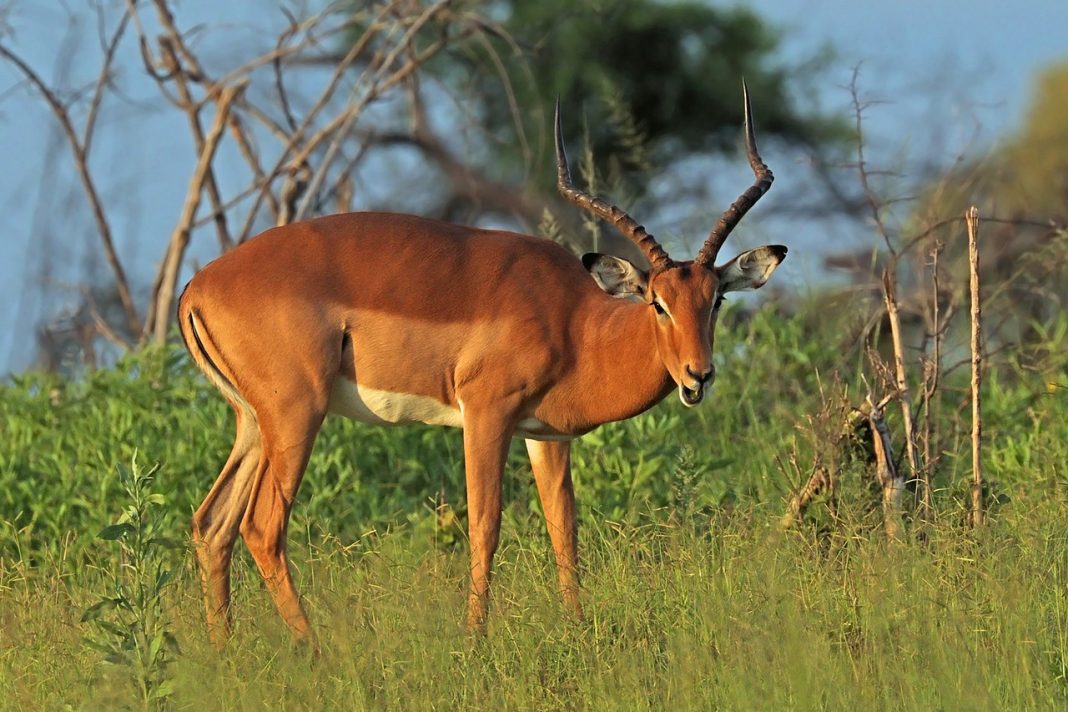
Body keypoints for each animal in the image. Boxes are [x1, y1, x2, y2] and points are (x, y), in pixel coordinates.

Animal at [178, 83, 785, 643]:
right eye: (657, 302)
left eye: (715, 299)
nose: (697, 375)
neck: (575, 319)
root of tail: (197, 287)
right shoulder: (485, 413)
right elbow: (485, 525)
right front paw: (474, 640)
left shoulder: (545, 435)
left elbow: (563, 529)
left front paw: (577, 630)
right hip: (297, 413)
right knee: (262, 526)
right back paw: (316, 652)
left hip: (254, 422)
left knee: (212, 523)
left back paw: (223, 654)